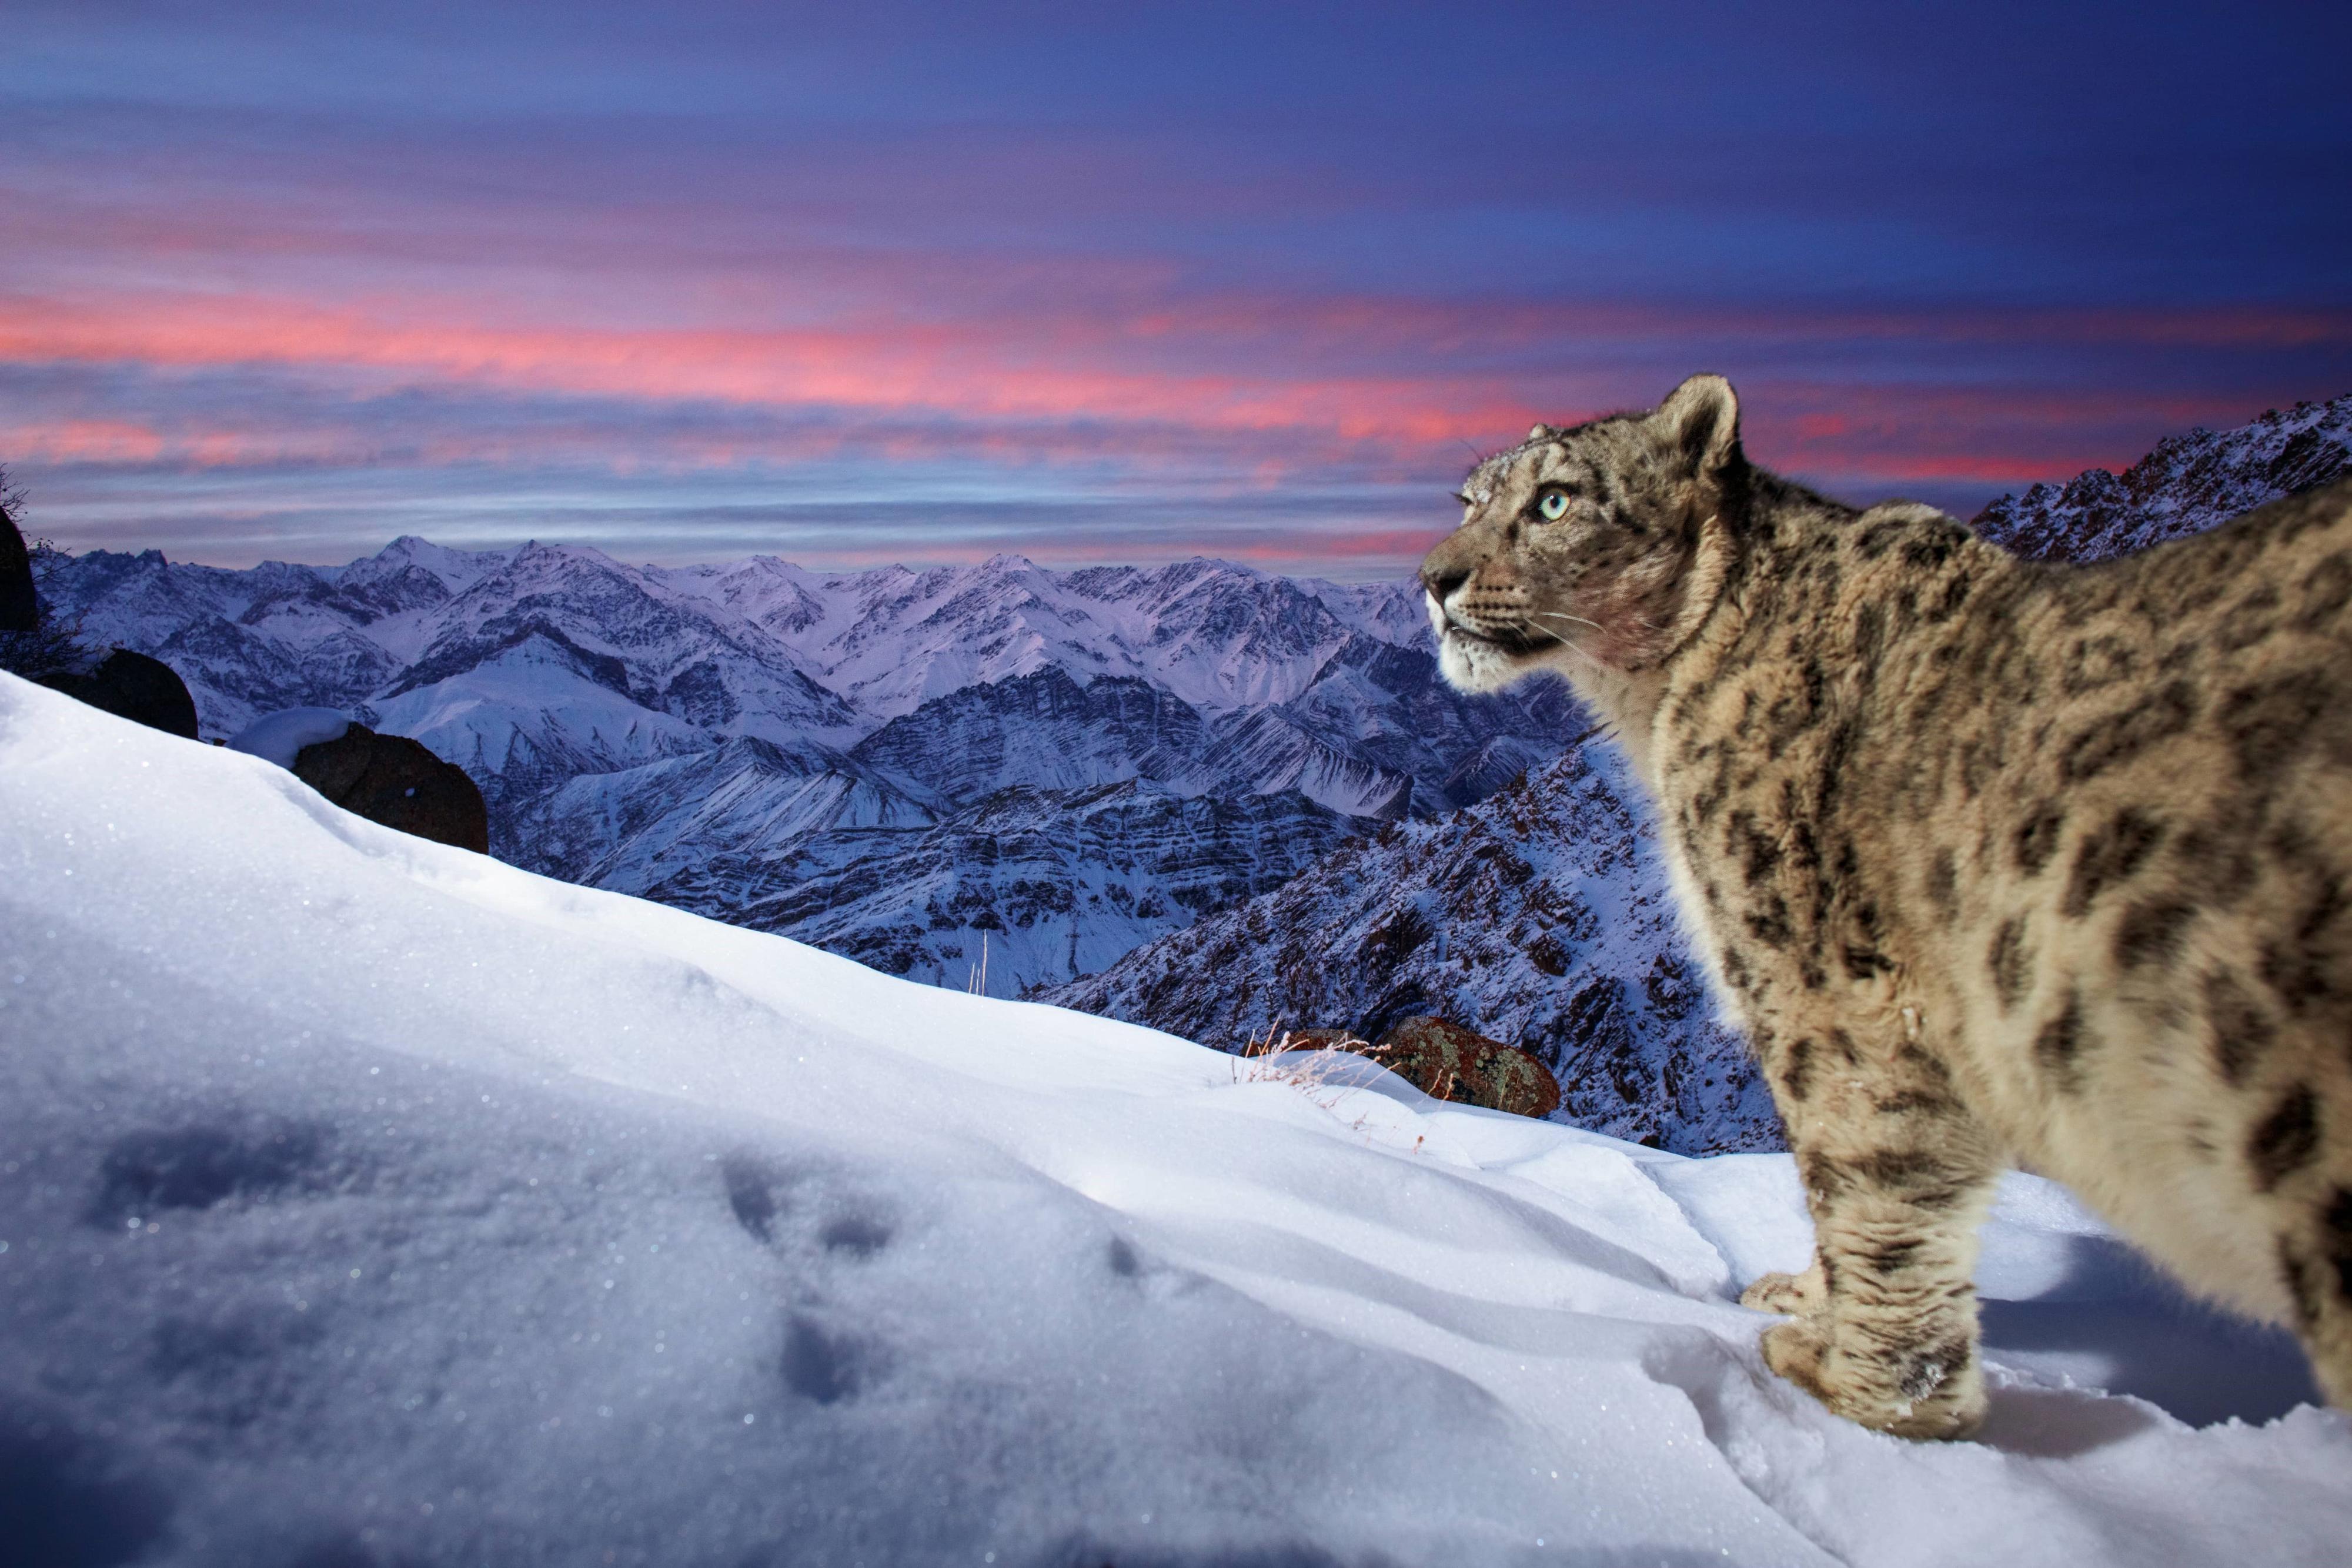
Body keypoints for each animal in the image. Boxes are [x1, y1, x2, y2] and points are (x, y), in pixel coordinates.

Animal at [1411, 376, 2352, 1439]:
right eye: (1469, 499)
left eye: (1556, 500)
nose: (1434, 578)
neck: (1654, 710)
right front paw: (1807, 1303)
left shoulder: (1824, 990)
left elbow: (1866, 1179)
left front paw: (1857, 1391)